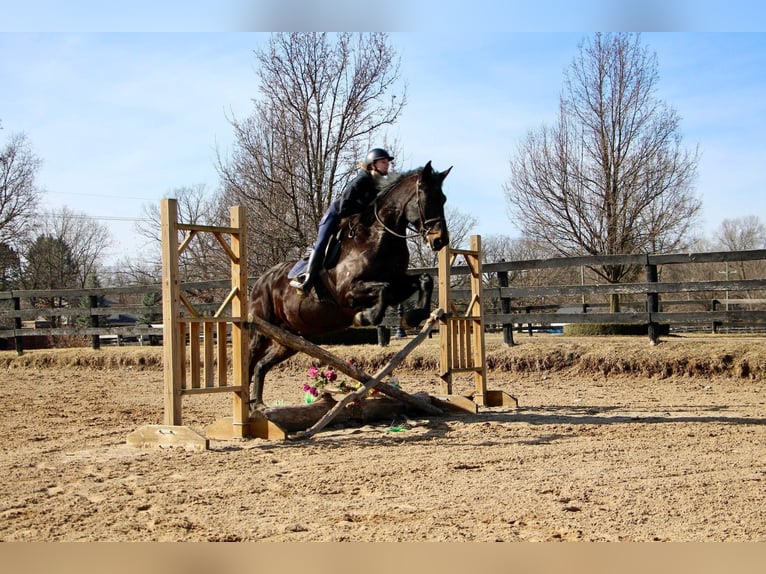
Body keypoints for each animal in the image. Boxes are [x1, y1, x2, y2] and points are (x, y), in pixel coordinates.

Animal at [246, 160, 452, 408]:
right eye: (425, 198)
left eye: (443, 199)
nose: (440, 240)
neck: (377, 236)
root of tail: (259, 282)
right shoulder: (348, 293)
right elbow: (383, 292)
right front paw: (364, 318)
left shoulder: (397, 282)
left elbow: (423, 280)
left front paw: (411, 318)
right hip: (261, 328)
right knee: (250, 361)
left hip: (289, 338)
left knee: (261, 365)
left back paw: (258, 404)